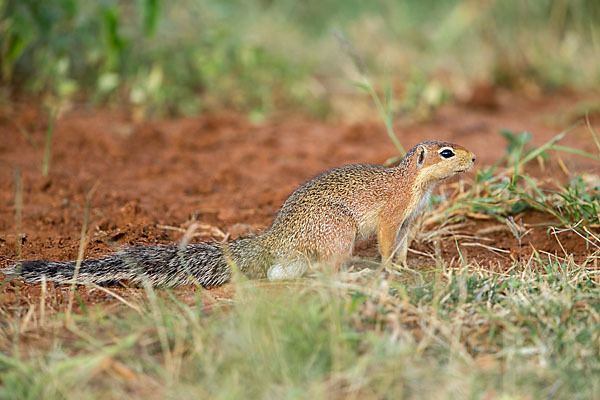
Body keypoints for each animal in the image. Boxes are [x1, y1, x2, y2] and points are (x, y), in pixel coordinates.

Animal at [8, 141, 474, 288]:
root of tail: (272, 241)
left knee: (280, 274)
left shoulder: (410, 222)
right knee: (315, 270)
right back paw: (352, 274)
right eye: (446, 153)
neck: (416, 185)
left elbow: (401, 248)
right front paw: (391, 271)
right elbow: (386, 244)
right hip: (336, 229)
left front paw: (406, 268)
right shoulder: (392, 216)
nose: (474, 158)